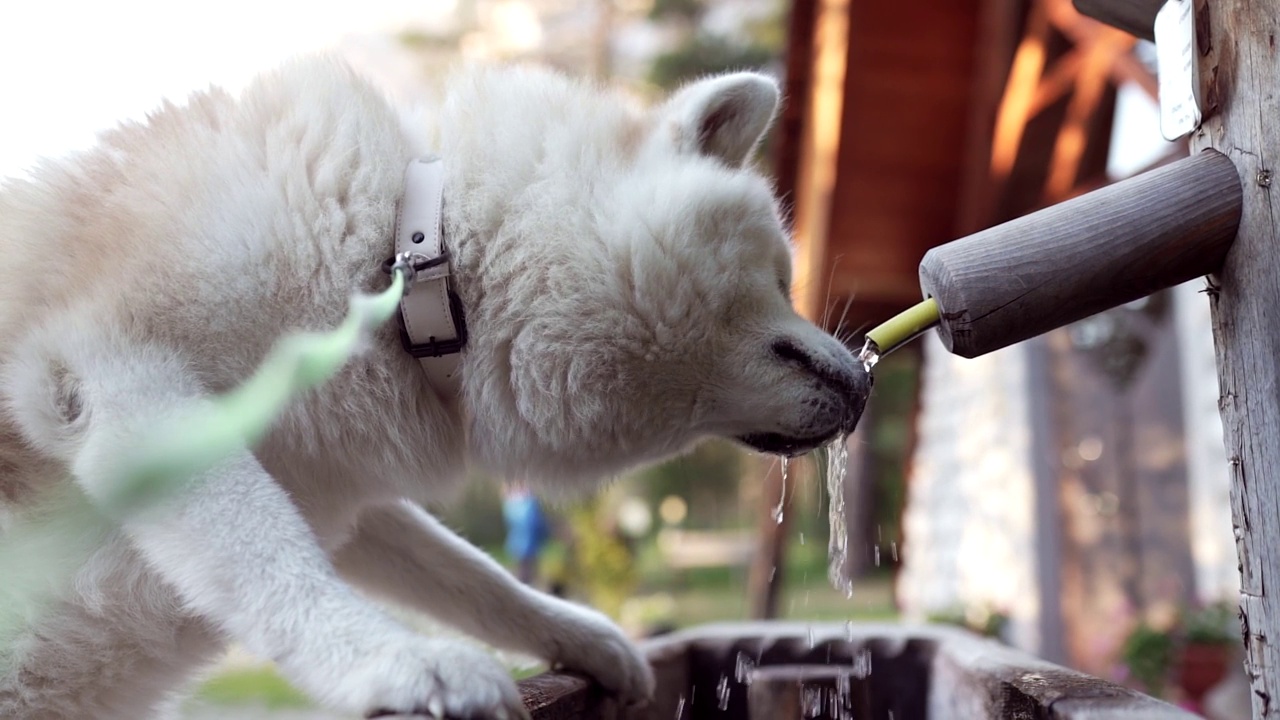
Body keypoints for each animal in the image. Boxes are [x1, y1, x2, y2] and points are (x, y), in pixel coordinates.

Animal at [0, 57, 870, 717]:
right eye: (782, 279)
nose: (862, 383)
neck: (411, 268)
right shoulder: (123, 384)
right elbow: (266, 554)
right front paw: (391, 663)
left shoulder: (328, 485)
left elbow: (471, 576)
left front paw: (584, 636)